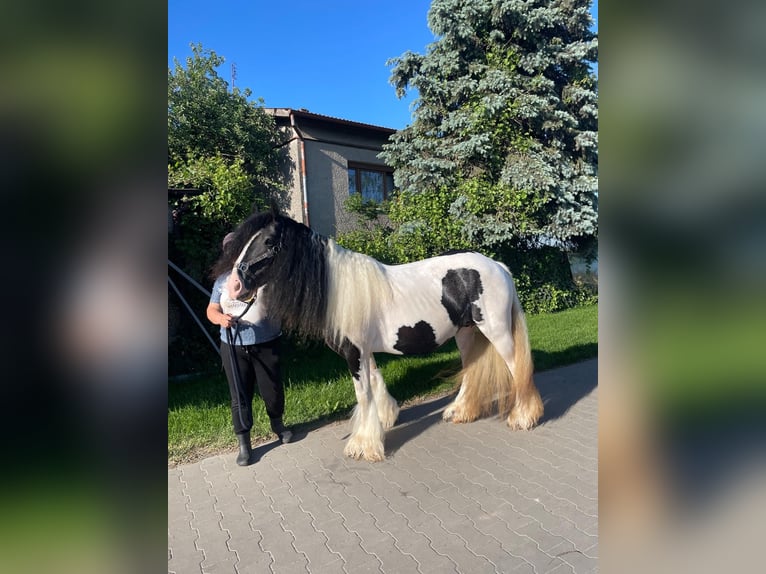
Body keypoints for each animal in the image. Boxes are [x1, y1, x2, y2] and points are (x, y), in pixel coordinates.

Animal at [220, 212, 544, 464]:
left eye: (268, 242)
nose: (234, 286)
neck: (340, 291)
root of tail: (498, 266)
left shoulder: (354, 353)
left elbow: (363, 394)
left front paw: (362, 446)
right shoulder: (364, 352)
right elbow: (375, 384)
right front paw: (384, 421)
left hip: (496, 330)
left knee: (517, 368)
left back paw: (523, 417)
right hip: (466, 333)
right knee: (471, 368)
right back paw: (460, 412)